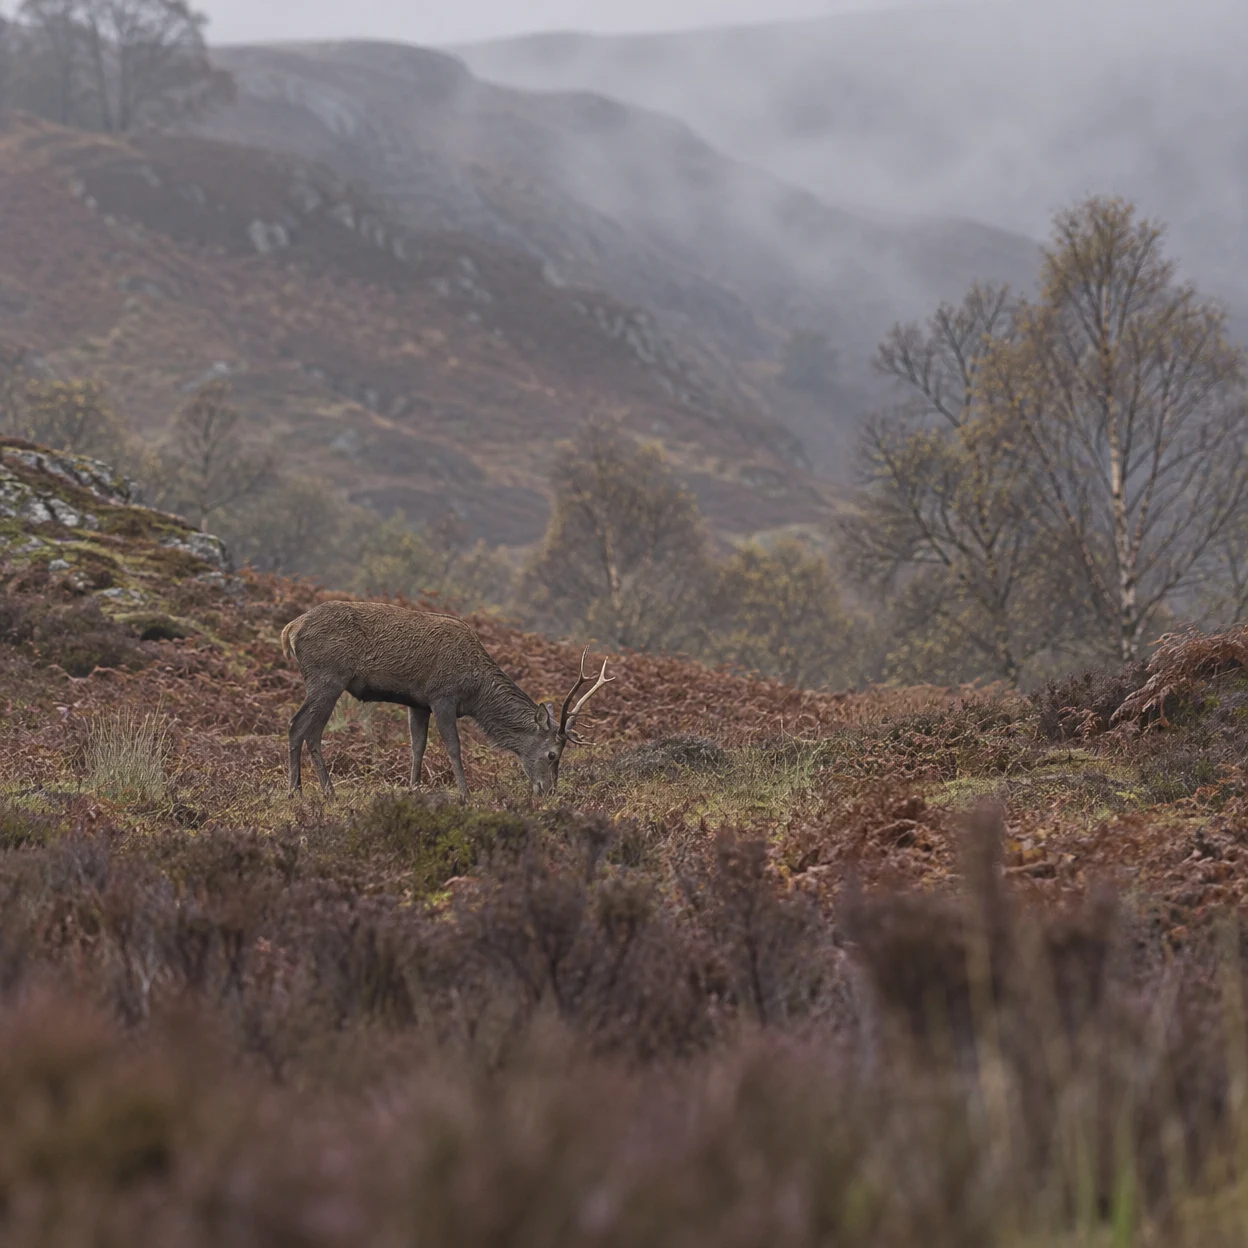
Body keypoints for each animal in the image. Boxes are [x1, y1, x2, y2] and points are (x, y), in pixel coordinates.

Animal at [280, 600, 614, 801]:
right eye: (552, 754)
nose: (548, 791)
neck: (475, 691)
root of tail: (289, 630)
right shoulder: (442, 696)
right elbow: (453, 747)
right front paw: (465, 795)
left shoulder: (417, 702)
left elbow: (418, 746)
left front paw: (413, 788)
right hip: (328, 677)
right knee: (302, 727)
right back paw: (312, 791)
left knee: (304, 729)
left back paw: (306, 790)